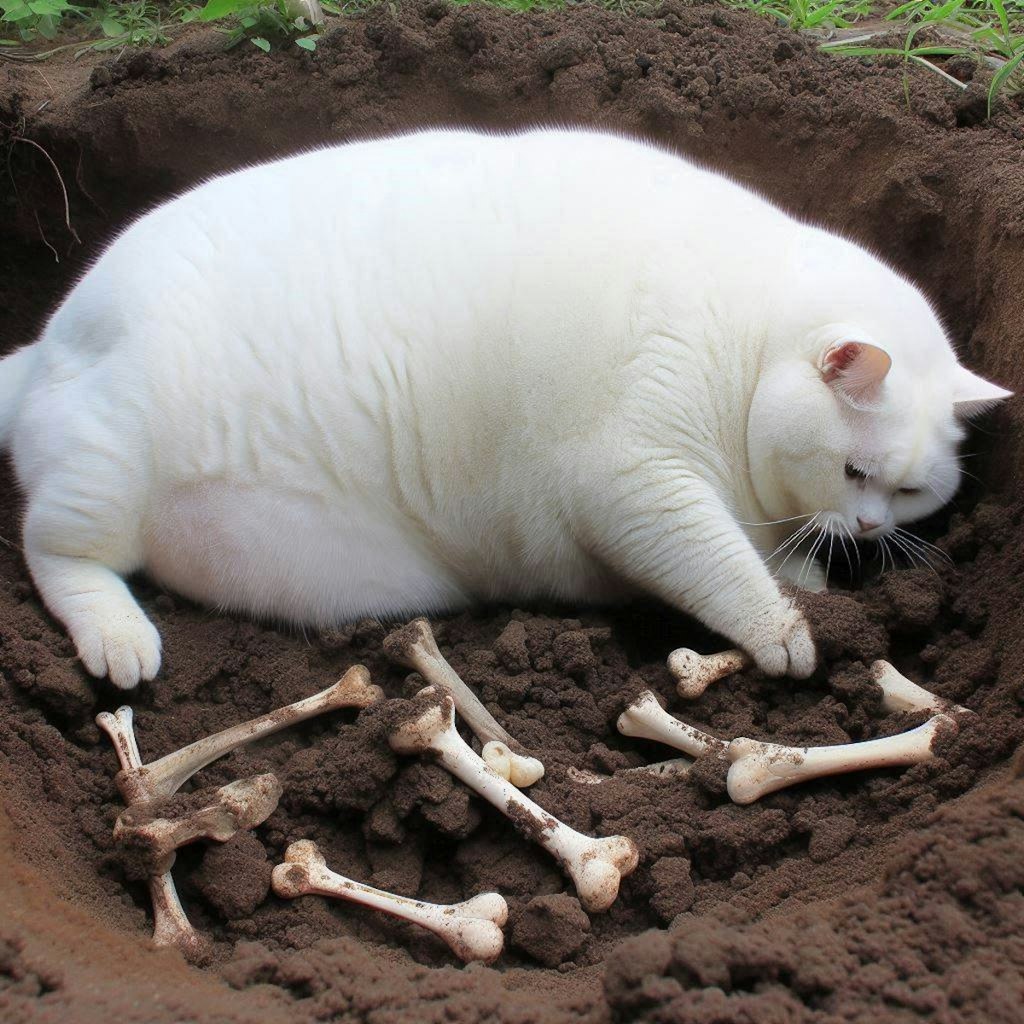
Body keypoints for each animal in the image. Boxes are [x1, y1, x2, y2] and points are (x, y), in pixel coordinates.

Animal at [0, 128, 1007, 688]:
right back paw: (121, 638)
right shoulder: (631, 480)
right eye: (855, 470)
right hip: (104, 469)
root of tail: (40, 348)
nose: (874, 531)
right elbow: (719, 562)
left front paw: (806, 579)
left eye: (911, 494)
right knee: (54, 552)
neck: (747, 344)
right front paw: (786, 628)